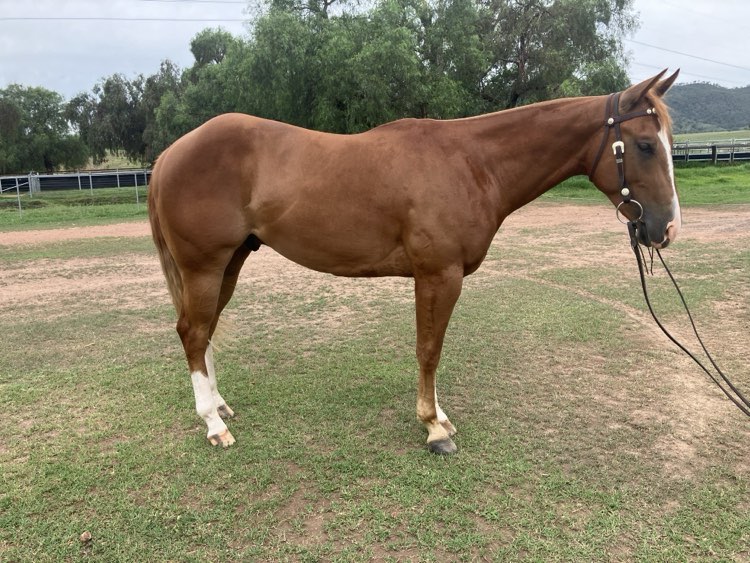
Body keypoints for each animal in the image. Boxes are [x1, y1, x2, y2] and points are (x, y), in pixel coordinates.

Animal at [148, 69, 681, 454]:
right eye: (645, 145)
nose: (668, 228)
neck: (471, 163)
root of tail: (170, 155)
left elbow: (431, 349)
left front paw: (438, 418)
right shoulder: (438, 276)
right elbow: (429, 350)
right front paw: (433, 428)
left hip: (230, 263)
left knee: (205, 331)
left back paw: (220, 406)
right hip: (204, 266)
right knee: (193, 333)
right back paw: (213, 425)